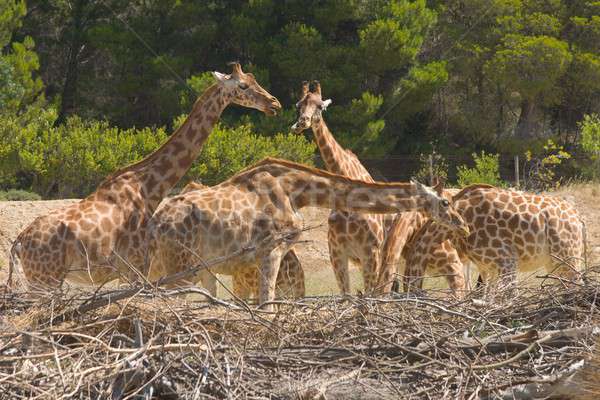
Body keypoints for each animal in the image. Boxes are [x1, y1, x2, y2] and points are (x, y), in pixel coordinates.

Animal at [8, 62, 282, 290]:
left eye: (255, 79)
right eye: (243, 85)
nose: (274, 104)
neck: (149, 186)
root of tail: (18, 243)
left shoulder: (132, 269)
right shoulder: (136, 265)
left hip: (40, 280)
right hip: (46, 280)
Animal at [146, 158, 468, 308]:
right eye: (446, 202)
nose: (462, 223)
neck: (297, 191)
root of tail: (156, 221)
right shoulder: (271, 249)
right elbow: (267, 306)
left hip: (163, 263)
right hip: (181, 265)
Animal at [396, 185, 584, 294]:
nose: (465, 228)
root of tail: (578, 218)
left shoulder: (507, 260)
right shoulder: (487, 267)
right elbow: (487, 296)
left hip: (568, 256)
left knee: (578, 284)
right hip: (555, 263)